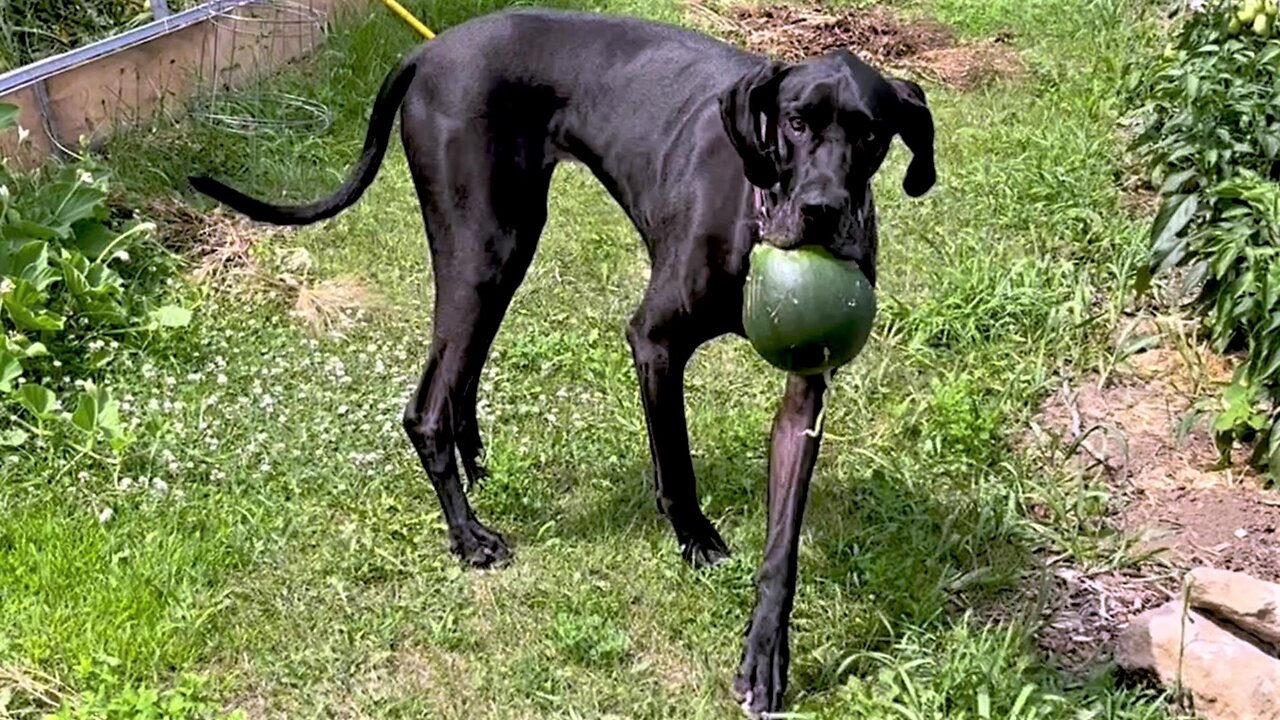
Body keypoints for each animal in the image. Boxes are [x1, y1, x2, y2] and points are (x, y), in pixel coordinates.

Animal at [186, 5, 931, 712]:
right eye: (797, 124)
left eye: (871, 135)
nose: (824, 211)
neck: (754, 210)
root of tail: (430, 50)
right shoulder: (654, 341)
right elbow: (676, 466)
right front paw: (694, 540)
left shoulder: (805, 391)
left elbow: (784, 541)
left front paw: (766, 654)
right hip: (485, 246)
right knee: (426, 405)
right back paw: (469, 536)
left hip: (508, 240)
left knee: (458, 378)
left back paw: (475, 463)